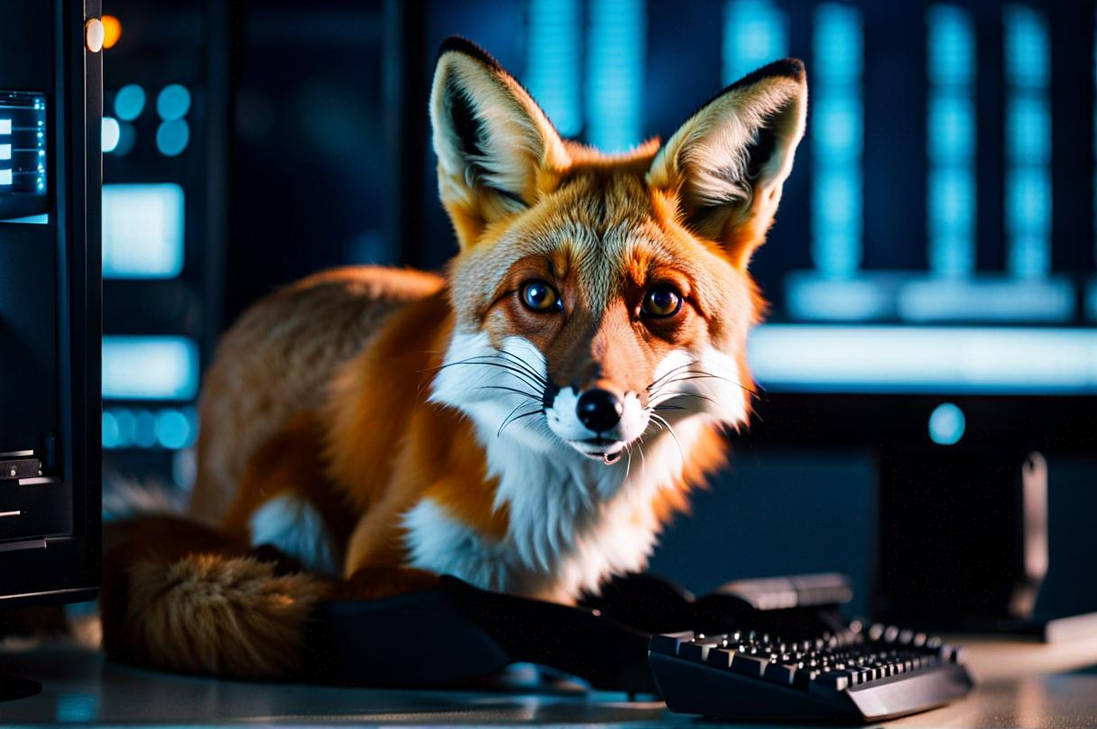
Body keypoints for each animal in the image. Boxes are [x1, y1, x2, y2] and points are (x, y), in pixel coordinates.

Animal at [100, 38, 807, 679]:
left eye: (661, 300)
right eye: (538, 295)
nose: (599, 409)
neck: (555, 522)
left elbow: (664, 597)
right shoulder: (380, 567)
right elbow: (512, 609)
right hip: (286, 480)